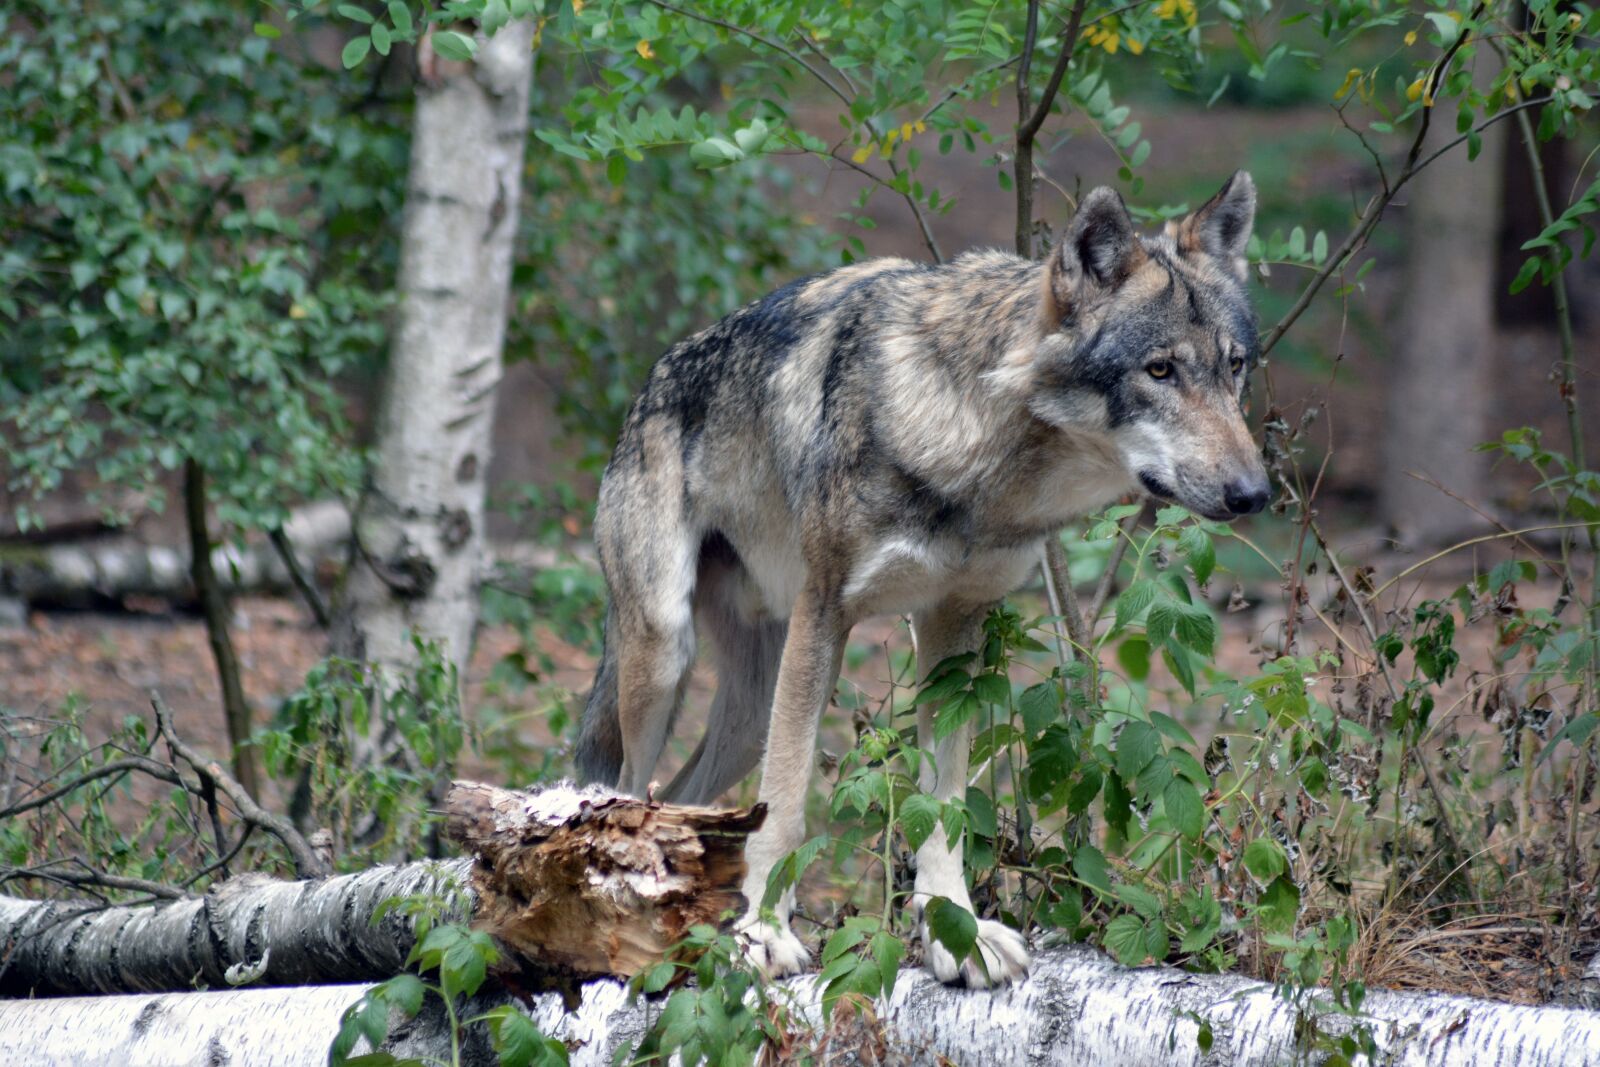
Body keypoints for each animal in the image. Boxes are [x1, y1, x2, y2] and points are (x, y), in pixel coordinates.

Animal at [574, 172, 1269, 987]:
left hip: (747, 713)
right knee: (629, 793)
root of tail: (649, 383)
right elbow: (787, 802)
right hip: (664, 656)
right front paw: (765, 933)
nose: (1255, 494)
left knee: (683, 806)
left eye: (1235, 365)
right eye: (1159, 370)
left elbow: (943, 805)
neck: (983, 458)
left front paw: (955, 932)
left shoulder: (954, 632)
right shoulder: (826, 611)